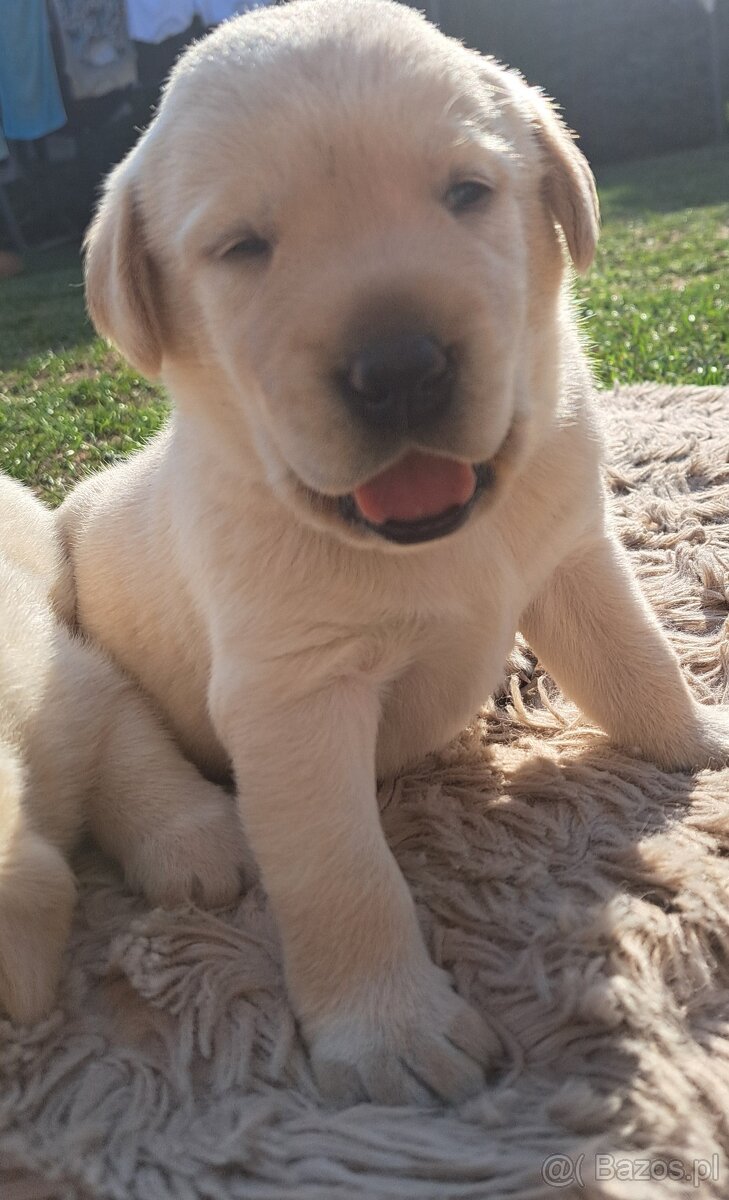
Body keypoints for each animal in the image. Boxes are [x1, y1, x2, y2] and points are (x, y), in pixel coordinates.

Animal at [56, 2, 729, 1104]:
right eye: (242, 248)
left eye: (467, 193)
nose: (402, 368)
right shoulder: (293, 699)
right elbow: (342, 872)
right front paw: (391, 1032)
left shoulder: (571, 552)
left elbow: (637, 660)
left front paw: (702, 739)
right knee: (118, 738)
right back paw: (193, 840)